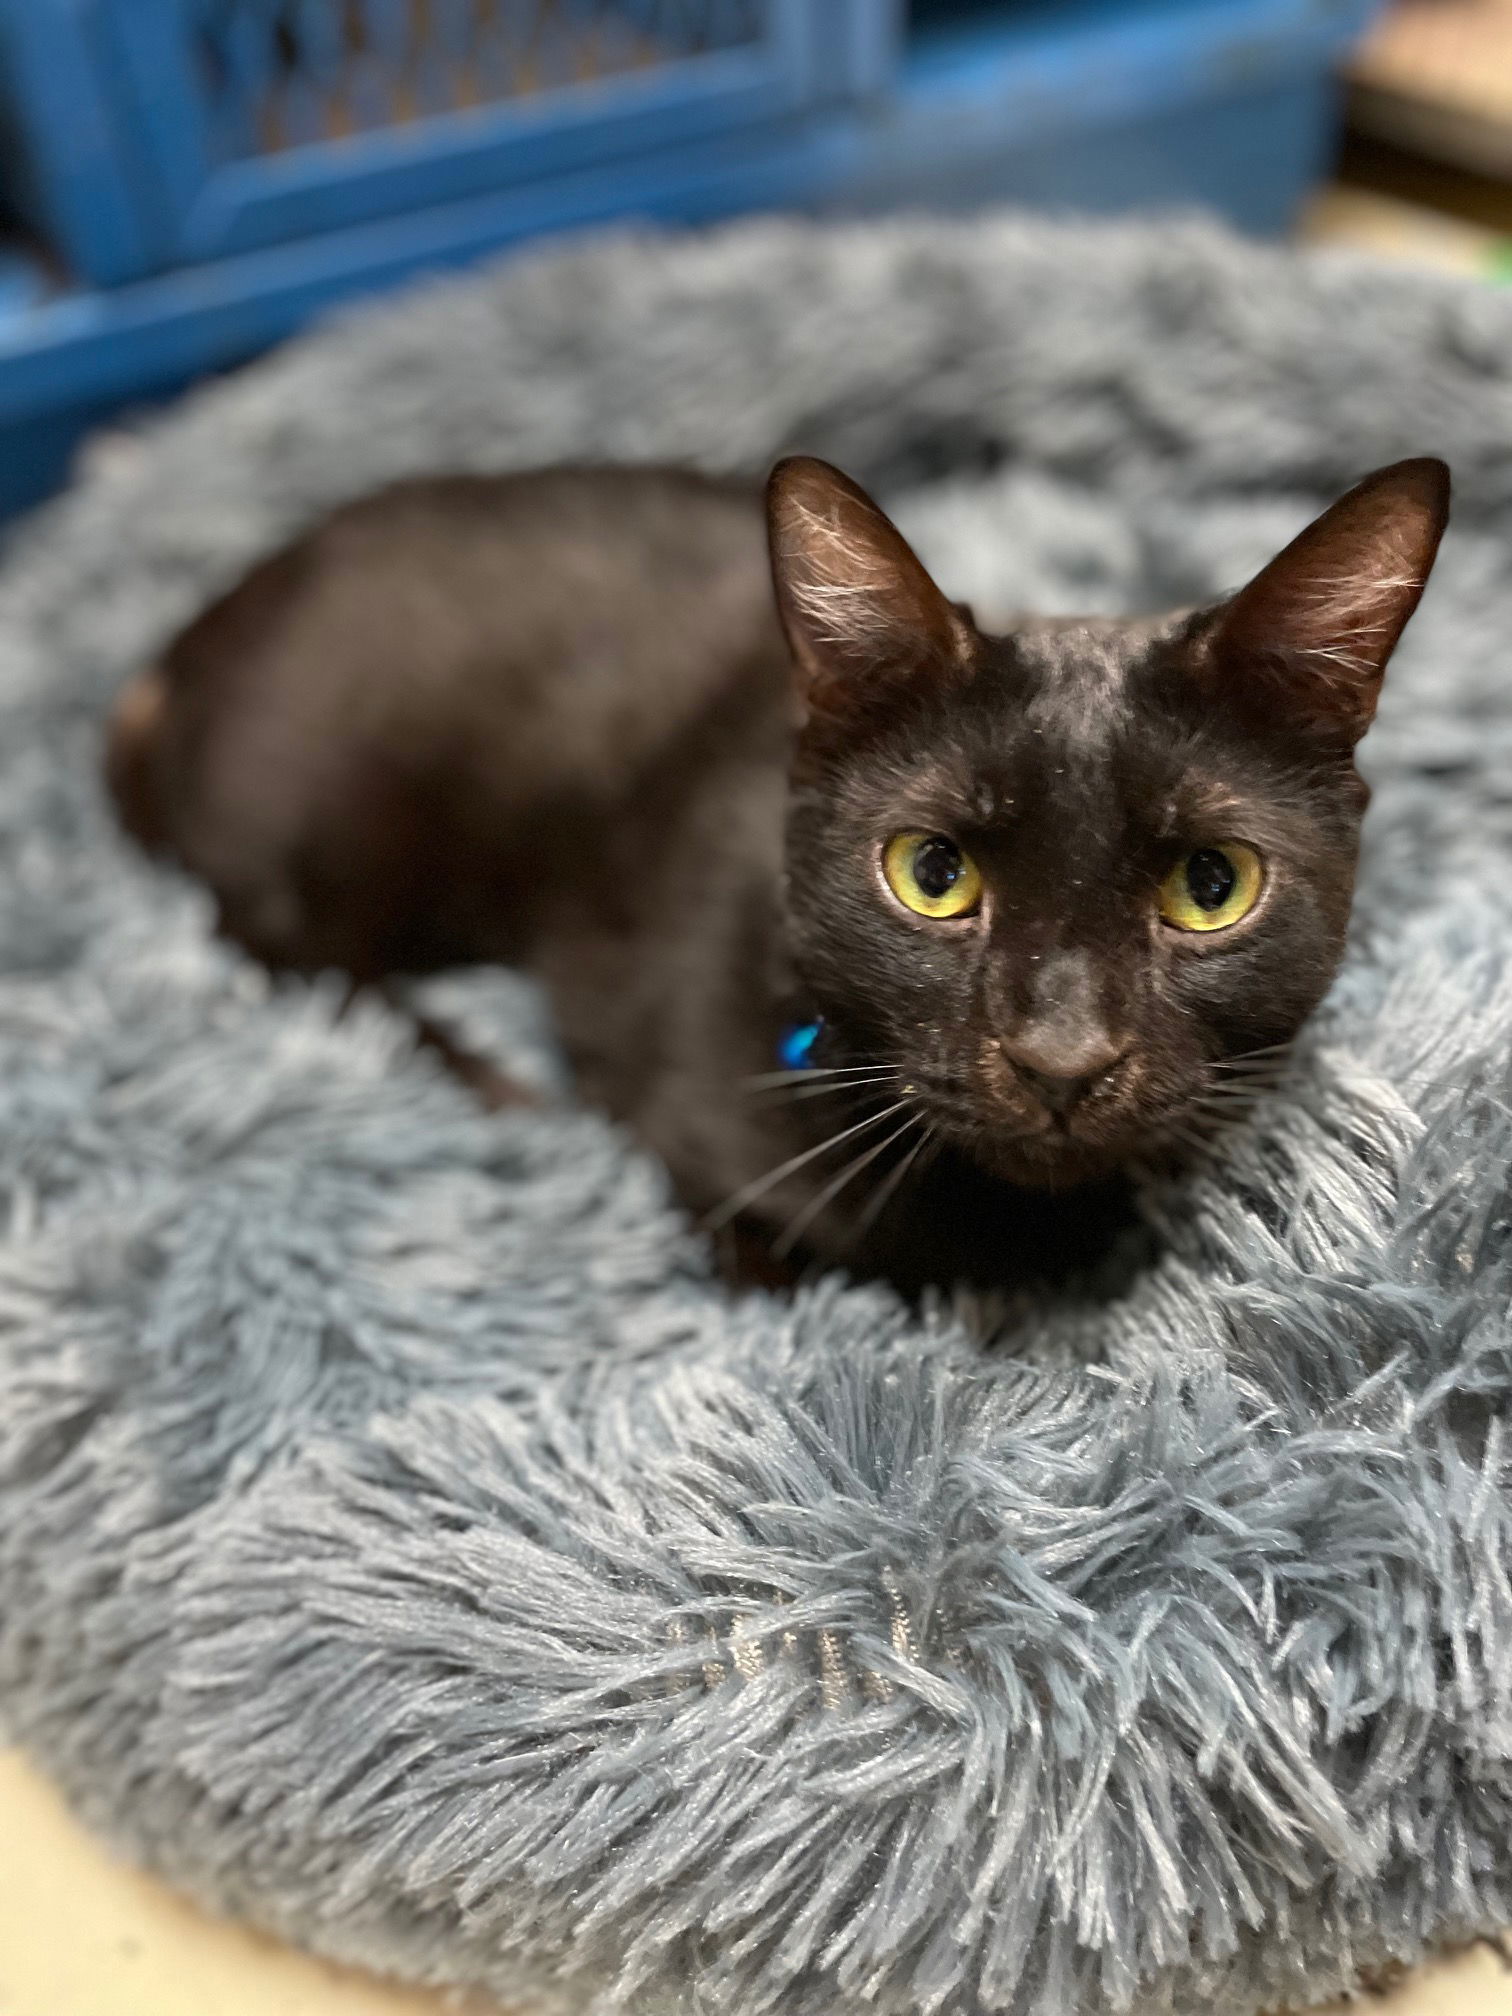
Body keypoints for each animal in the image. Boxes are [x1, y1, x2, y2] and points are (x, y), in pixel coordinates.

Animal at [106, 453, 1459, 1290]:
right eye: (931, 873)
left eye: (1210, 887)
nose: (1061, 1059)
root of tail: (177, 655)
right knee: (306, 964)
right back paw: (483, 1075)